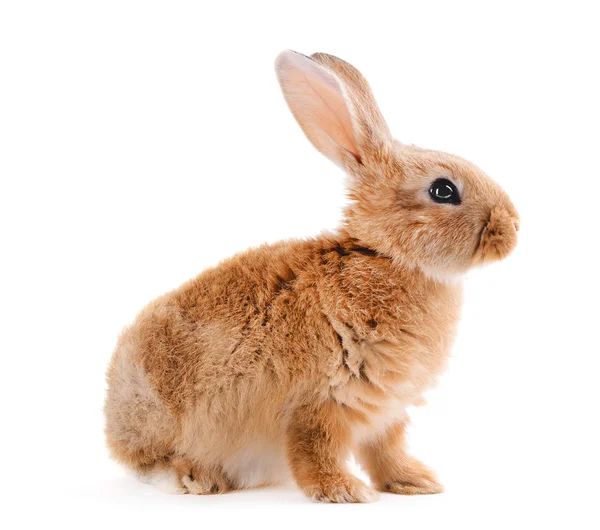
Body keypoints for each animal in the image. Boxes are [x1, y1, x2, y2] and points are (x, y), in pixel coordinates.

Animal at [104, 48, 520, 500]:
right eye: (443, 190)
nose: (512, 227)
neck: (386, 257)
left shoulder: (385, 408)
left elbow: (386, 449)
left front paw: (415, 482)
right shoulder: (321, 398)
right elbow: (315, 447)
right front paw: (344, 491)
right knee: (151, 465)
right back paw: (193, 477)